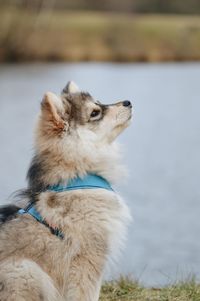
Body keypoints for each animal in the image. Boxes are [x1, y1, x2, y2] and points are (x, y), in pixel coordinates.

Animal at [0, 81, 132, 300]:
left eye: (99, 102)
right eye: (95, 113)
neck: (79, 175)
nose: (128, 102)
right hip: (26, 270)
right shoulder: (87, 259)